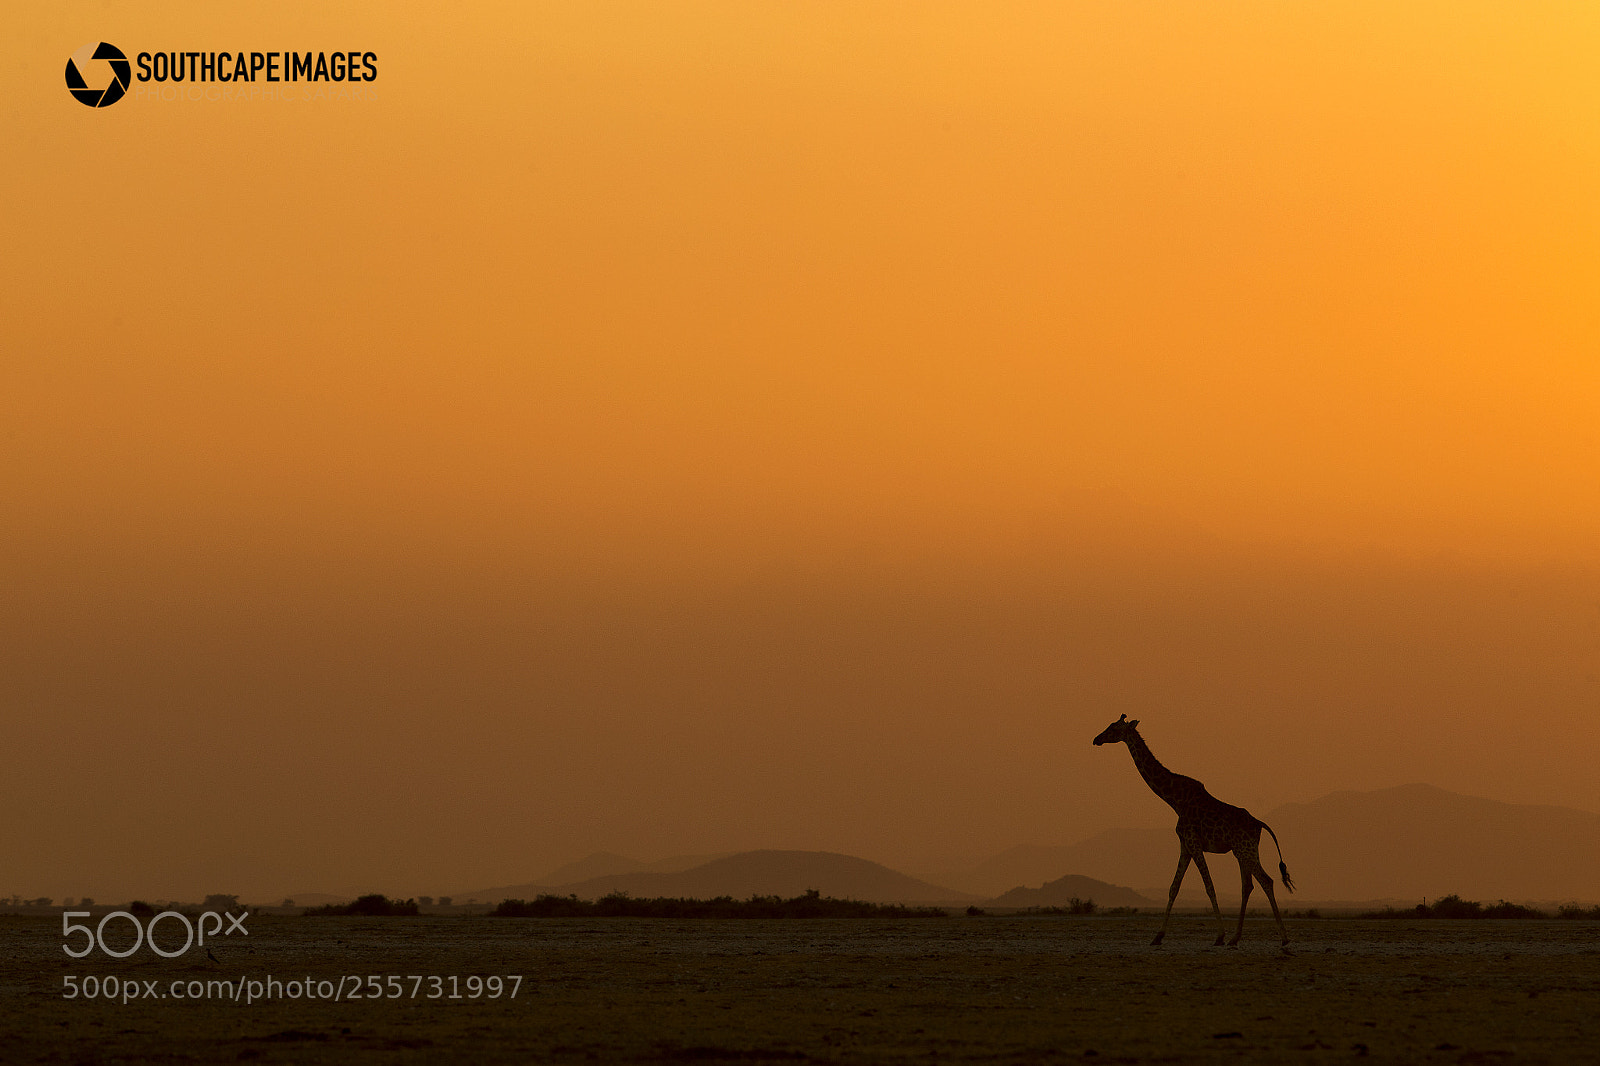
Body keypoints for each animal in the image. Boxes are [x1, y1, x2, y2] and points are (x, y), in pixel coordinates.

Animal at [1093, 715, 1295, 949]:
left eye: (1114, 728)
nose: (1096, 739)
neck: (1175, 800)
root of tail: (1259, 824)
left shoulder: (1194, 842)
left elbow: (1209, 886)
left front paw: (1219, 936)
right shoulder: (1185, 845)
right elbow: (1174, 887)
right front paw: (1157, 936)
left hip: (1246, 849)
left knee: (1266, 881)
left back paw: (1284, 938)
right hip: (1243, 851)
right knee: (1248, 886)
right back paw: (1236, 938)